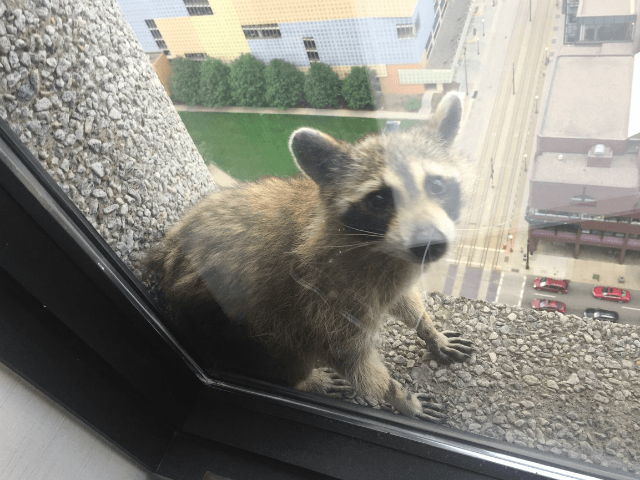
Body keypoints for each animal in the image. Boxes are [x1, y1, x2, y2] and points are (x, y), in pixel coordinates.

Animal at [146, 92, 475, 422]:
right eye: (380, 199)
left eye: (436, 185)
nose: (431, 244)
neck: (378, 246)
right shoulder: (324, 294)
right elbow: (350, 359)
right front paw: (400, 396)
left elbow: (404, 300)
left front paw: (428, 328)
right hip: (233, 329)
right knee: (283, 348)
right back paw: (304, 380)